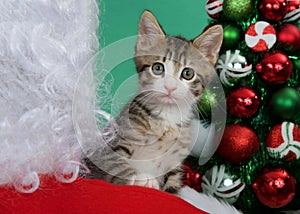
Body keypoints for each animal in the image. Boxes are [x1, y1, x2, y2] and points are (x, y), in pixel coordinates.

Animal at [84, 10, 223, 194]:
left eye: (187, 73)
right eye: (158, 68)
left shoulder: (175, 164)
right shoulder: (108, 148)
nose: (170, 86)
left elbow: (171, 189)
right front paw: (142, 179)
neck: (167, 119)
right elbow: (115, 164)